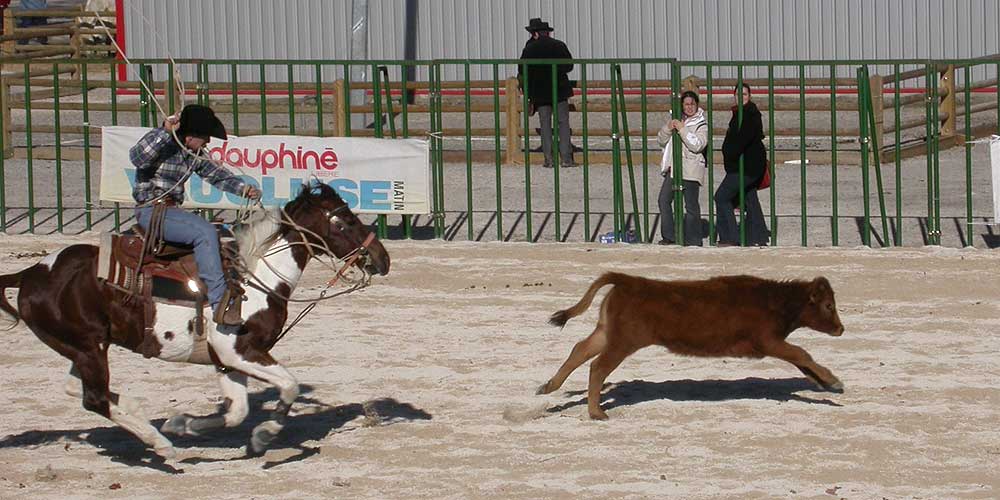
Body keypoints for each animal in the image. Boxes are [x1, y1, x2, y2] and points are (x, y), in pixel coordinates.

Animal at [0, 183, 390, 458]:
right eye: (346, 221)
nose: (382, 258)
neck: (255, 276)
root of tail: (31, 273)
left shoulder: (227, 361)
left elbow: (238, 411)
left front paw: (185, 425)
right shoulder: (240, 351)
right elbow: (289, 386)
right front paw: (263, 435)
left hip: (85, 346)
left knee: (78, 389)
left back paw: (143, 416)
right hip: (89, 348)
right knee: (93, 398)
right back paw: (159, 443)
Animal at [540, 272, 844, 420]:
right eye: (829, 306)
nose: (841, 329)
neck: (775, 300)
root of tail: (629, 281)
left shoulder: (774, 343)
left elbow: (802, 362)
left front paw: (827, 383)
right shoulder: (768, 341)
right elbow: (801, 354)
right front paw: (833, 381)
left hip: (608, 334)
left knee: (580, 350)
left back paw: (548, 387)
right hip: (623, 342)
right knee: (598, 366)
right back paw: (596, 412)